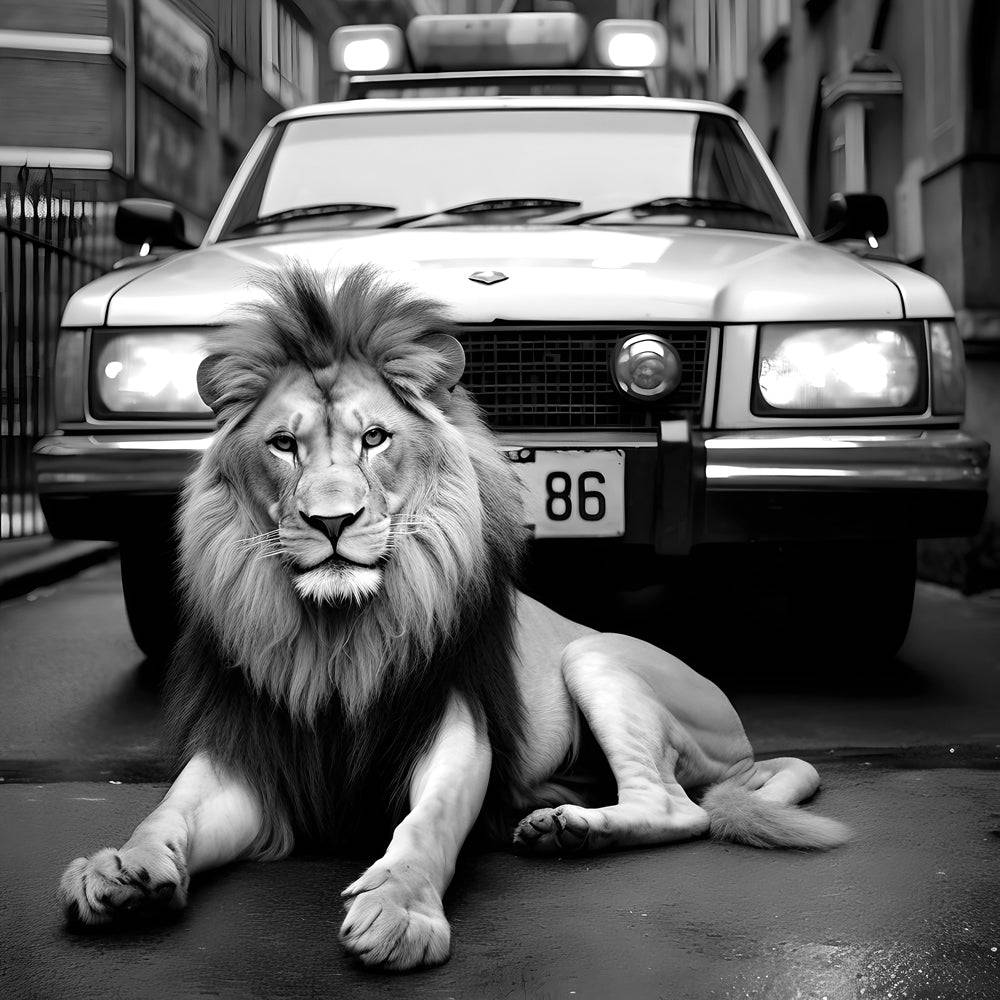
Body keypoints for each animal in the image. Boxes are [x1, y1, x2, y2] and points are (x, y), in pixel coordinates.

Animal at [59, 263, 851, 970]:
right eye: (283, 445)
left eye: (374, 438)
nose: (333, 521)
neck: (335, 637)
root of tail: (744, 744)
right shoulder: (252, 751)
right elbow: (168, 812)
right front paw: (119, 869)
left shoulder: (453, 727)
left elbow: (427, 824)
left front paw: (399, 910)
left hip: (595, 656)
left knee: (678, 807)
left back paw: (571, 831)